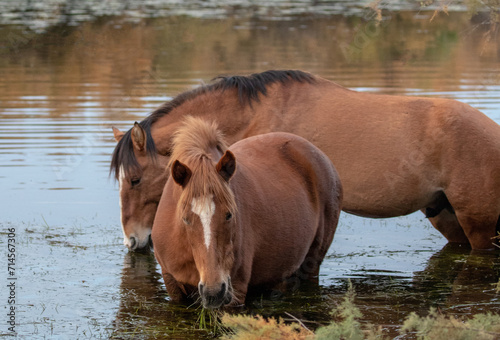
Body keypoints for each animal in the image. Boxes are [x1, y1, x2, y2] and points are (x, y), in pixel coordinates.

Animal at [150, 117, 342, 308]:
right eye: (185, 219)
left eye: (229, 215)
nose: (213, 291)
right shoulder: (172, 284)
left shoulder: (236, 290)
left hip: (312, 264)